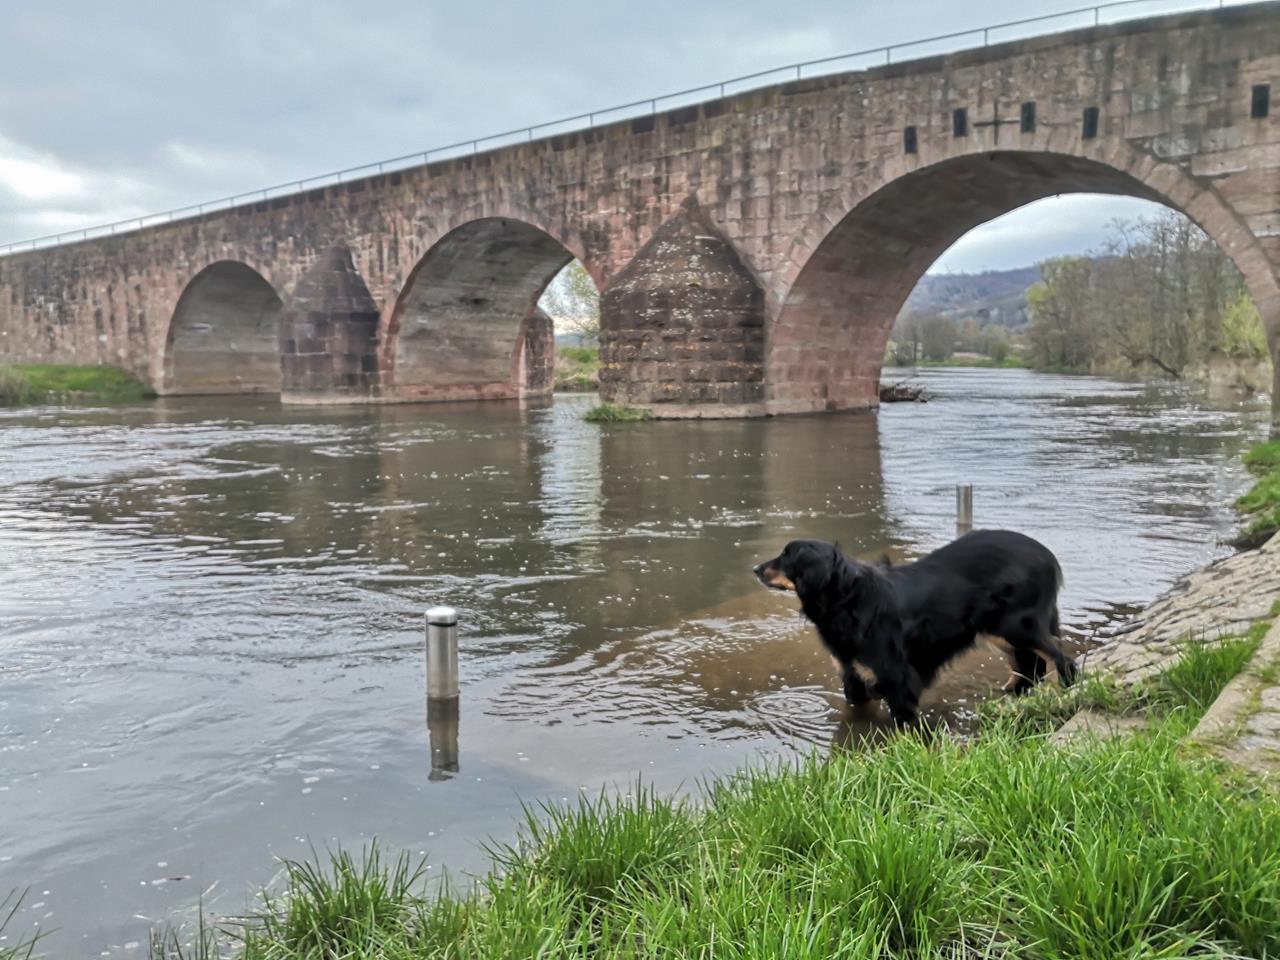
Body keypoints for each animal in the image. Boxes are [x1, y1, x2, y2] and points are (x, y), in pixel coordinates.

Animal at [753, 530, 1077, 724]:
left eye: (787, 556)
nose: (755, 569)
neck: (847, 600)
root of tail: (1048, 556)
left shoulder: (898, 677)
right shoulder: (852, 675)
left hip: (1015, 624)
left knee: (1061, 659)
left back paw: (1066, 693)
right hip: (1000, 630)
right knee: (1030, 666)